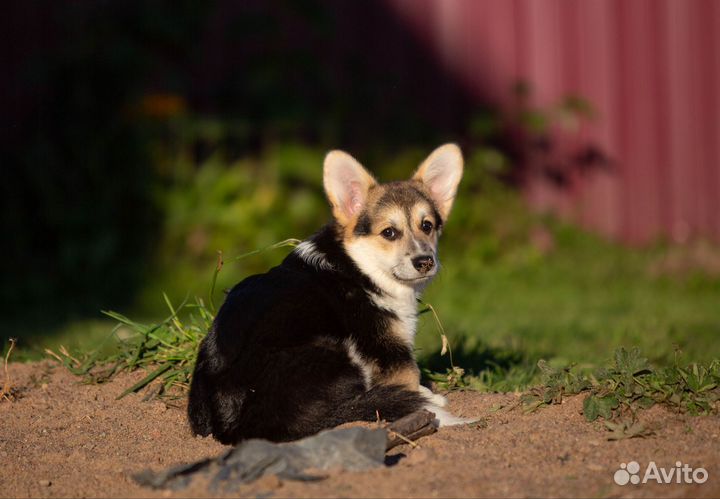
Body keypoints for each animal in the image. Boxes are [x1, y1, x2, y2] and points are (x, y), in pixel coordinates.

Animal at [187, 143, 466, 444]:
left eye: (427, 226)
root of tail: (238, 426)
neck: (358, 265)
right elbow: (409, 373)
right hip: (338, 352)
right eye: (389, 233)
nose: (425, 261)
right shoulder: (385, 346)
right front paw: (424, 395)